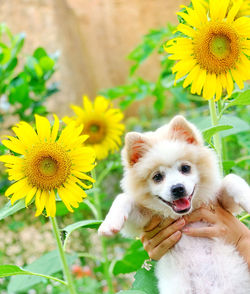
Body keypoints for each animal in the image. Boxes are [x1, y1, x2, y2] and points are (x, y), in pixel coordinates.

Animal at [98, 116, 250, 292]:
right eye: (157, 177)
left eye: (185, 168)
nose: (177, 188)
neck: (183, 215)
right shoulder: (144, 220)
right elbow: (124, 198)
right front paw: (110, 223)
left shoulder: (222, 203)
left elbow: (232, 179)